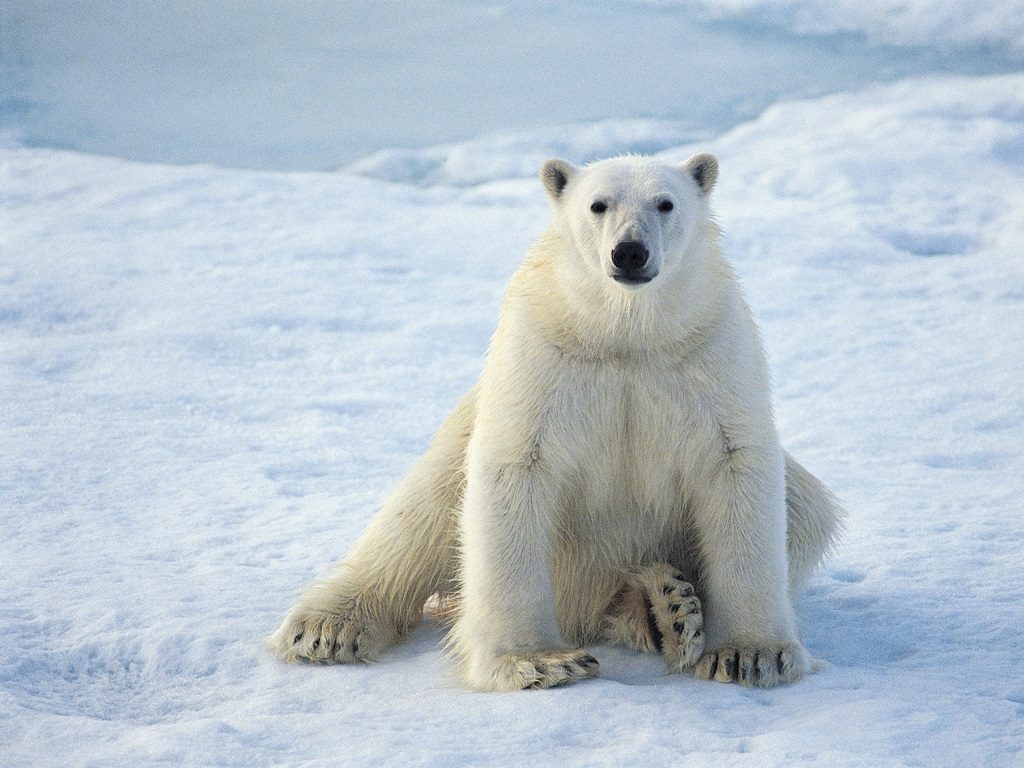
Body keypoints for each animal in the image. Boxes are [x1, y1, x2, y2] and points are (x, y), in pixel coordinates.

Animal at [268, 154, 843, 692]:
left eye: (665, 203)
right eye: (598, 205)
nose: (629, 252)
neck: (625, 334)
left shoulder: (709, 354)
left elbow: (736, 467)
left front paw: (750, 654)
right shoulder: (543, 355)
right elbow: (515, 469)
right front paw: (540, 662)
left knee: (806, 507)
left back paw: (664, 608)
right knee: (419, 515)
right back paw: (326, 627)